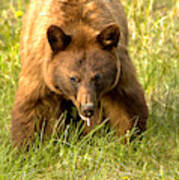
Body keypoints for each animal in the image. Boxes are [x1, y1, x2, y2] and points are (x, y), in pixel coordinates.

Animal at [11, 0, 148, 148]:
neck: (79, 26)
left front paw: (130, 140)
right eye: (73, 78)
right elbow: (31, 106)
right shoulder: (40, 69)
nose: (87, 108)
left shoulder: (119, 70)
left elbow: (125, 104)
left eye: (97, 77)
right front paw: (25, 147)